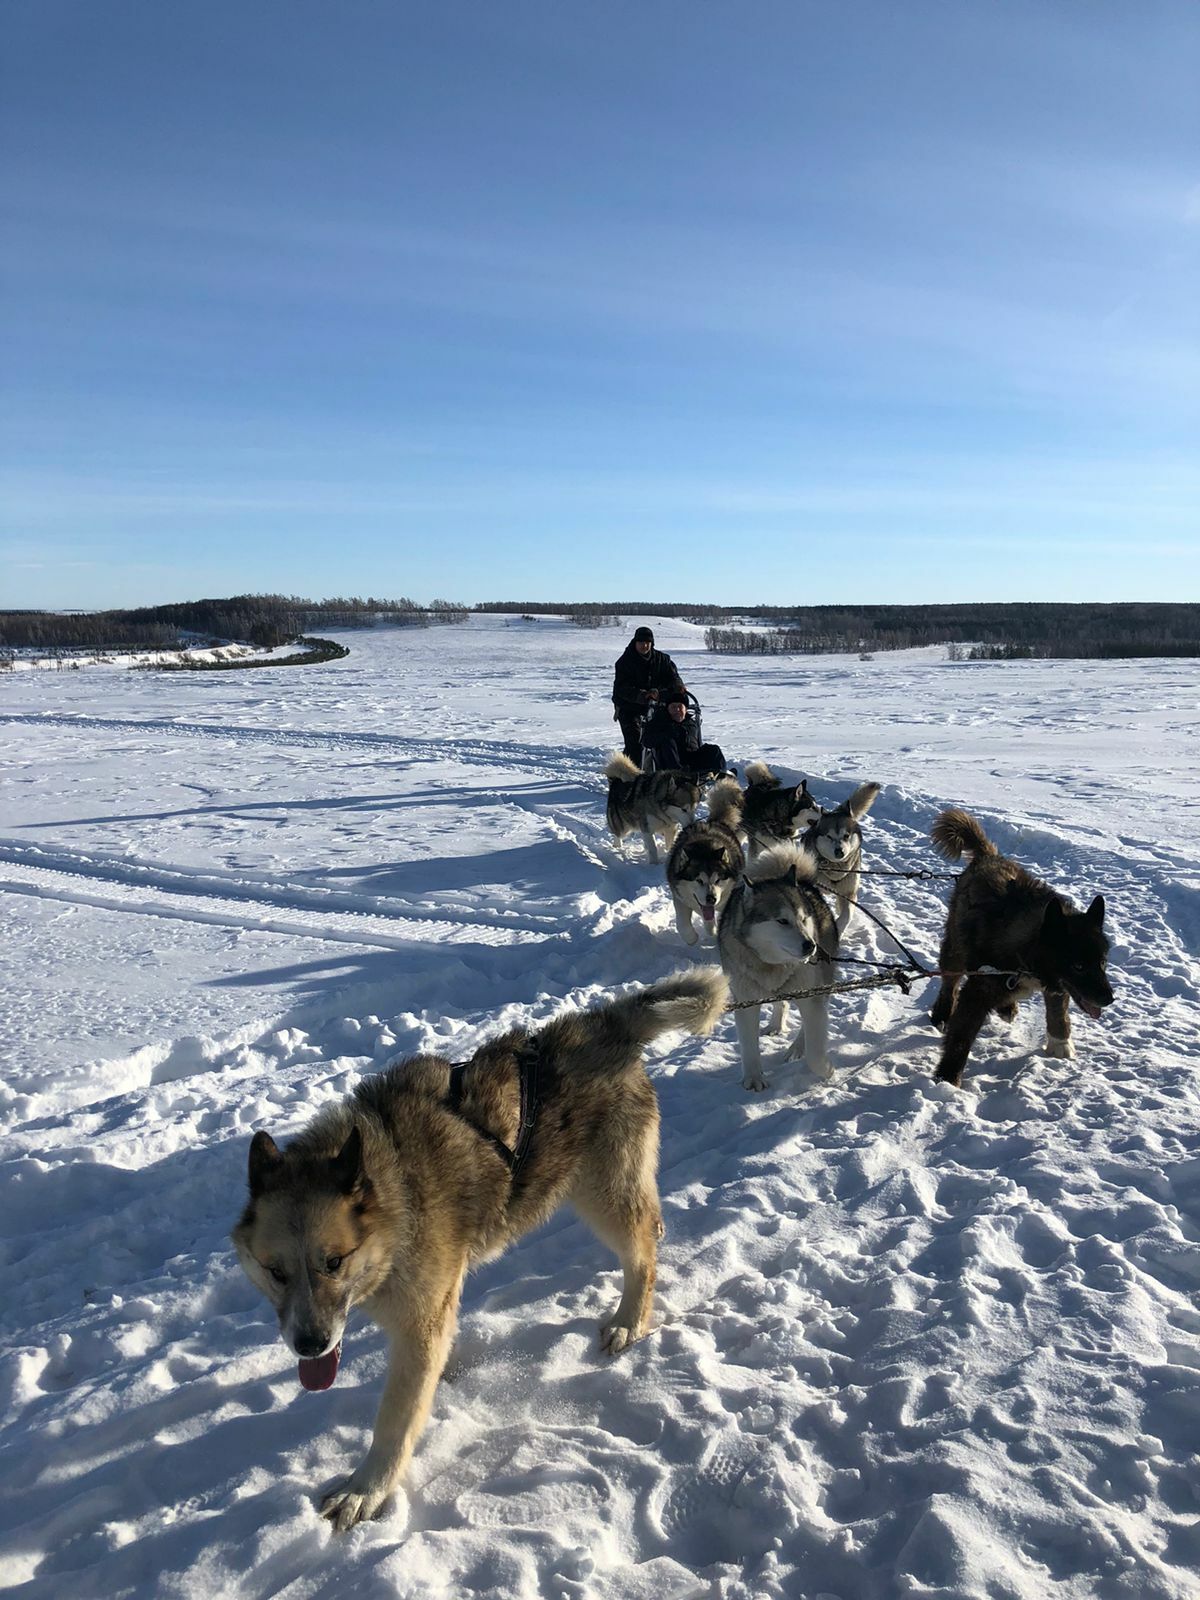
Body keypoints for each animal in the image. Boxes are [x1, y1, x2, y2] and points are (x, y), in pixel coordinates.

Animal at [230, 966, 729, 1529]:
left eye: (333, 1263)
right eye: (275, 1272)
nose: (309, 1345)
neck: (395, 1191)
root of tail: (602, 1024)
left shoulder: (419, 1324)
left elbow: (394, 1421)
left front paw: (367, 1489)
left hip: (603, 1197)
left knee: (642, 1255)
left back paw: (629, 1319)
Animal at [662, 777, 748, 940]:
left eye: (718, 879)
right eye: (699, 880)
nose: (711, 899)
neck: (705, 847)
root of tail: (714, 822)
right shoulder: (679, 897)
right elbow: (683, 924)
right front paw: (692, 937)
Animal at [720, 844, 838, 1094]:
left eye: (803, 919)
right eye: (782, 921)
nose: (811, 945)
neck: (772, 963)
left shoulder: (811, 997)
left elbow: (814, 1049)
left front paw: (825, 1069)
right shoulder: (745, 1002)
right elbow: (749, 1046)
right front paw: (753, 1077)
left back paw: (797, 1048)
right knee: (780, 1001)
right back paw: (775, 1024)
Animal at [809, 787, 883, 934]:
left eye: (846, 836)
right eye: (829, 836)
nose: (839, 851)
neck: (834, 868)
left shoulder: (849, 893)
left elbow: (847, 915)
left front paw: (838, 927)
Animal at [928, 812, 1120, 1088]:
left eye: (1103, 962)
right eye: (1078, 966)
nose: (1109, 999)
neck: (1026, 954)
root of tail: (988, 856)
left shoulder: (1056, 984)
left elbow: (1058, 1014)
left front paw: (1060, 1043)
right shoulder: (977, 992)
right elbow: (960, 1039)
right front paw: (947, 1078)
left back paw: (1007, 1007)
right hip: (955, 949)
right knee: (949, 983)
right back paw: (943, 1014)